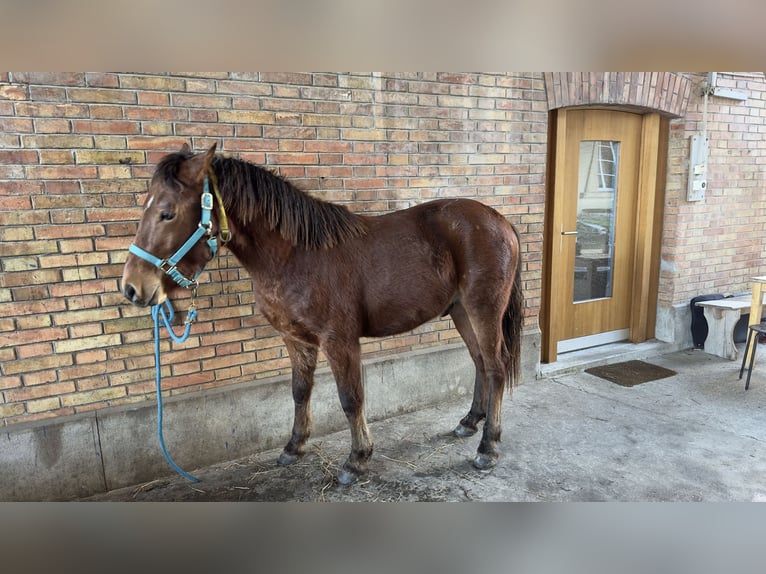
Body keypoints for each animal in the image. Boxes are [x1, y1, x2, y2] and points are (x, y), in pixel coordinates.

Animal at [121, 144, 528, 486]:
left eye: (167, 212)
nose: (132, 288)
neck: (295, 256)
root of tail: (499, 220)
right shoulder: (295, 339)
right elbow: (300, 391)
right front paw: (294, 447)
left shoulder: (339, 341)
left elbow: (351, 399)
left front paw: (356, 460)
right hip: (461, 312)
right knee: (479, 362)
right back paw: (469, 423)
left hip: (483, 309)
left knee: (495, 367)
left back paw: (488, 447)